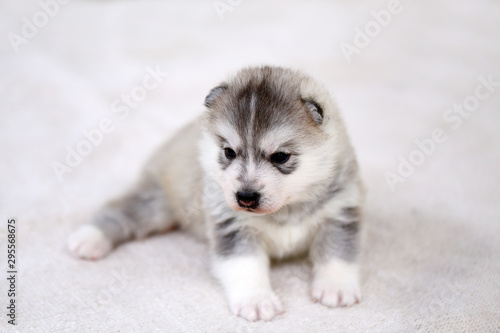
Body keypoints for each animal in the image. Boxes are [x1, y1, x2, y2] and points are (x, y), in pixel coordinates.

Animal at [67, 65, 364, 322]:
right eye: (229, 152)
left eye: (281, 156)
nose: (245, 197)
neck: (286, 209)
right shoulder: (233, 226)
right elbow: (246, 265)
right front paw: (256, 300)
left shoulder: (340, 213)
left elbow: (338, 252)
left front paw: (336, 287)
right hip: (157, 203)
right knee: (121, 210)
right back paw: (89, 238)